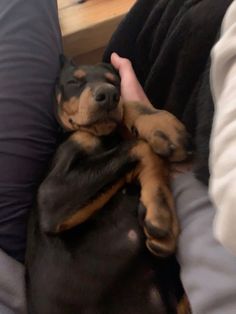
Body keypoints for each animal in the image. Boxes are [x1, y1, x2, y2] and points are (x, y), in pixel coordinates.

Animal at [25, 59, 191, 314]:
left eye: (115, 82)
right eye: (73, 82)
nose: (108, 95)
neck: (105, 138)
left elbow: (128, 111)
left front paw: (160, 124)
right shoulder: (50, 196)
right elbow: (140, 146)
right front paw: (162, 214)